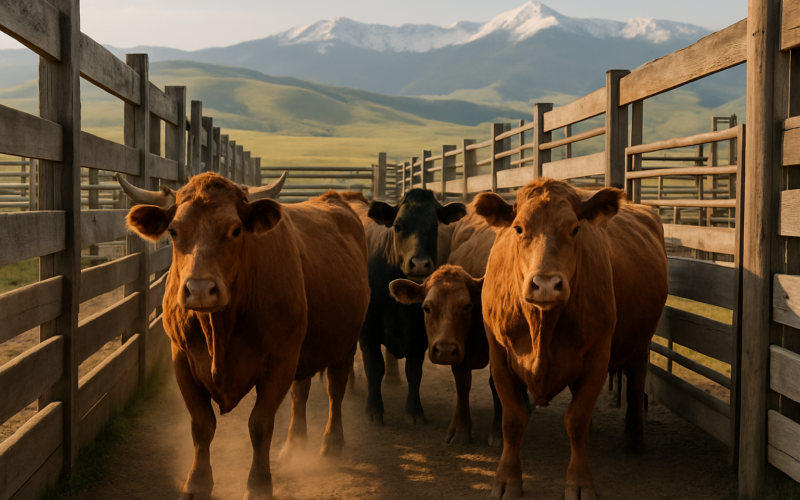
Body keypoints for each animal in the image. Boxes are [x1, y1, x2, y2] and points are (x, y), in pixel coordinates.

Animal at [117, 172, 370, 500]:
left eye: (236, 230)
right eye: (173, 231)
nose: (200, 290)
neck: (220, 329)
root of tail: (337, 199)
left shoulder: (280, 361)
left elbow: (260, 424)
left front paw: (259, 485)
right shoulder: (182, 359)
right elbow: (201, 425)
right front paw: (197, 483)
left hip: (344, 344)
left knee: (335, 390)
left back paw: (331, 443)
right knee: (299, 394)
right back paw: (293, 446)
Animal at [344, 189, 466, 425]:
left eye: (434, 226)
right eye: (398, 226)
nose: (419, 263)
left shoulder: (420, 334)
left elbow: (414, 371)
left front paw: (414, 411)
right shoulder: (368, 332)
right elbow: (374, 368)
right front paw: (374, 410)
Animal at [474, 178, 668, 500]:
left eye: (575, 229)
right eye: (518, 228)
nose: (546, 284)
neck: (542, 325)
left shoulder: (596, 358)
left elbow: (576, 422)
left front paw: (579, 482)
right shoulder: (499, 357)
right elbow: (512, 421)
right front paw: (507, 479)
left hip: (641, 346)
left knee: (636, 383)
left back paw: (634, 440)